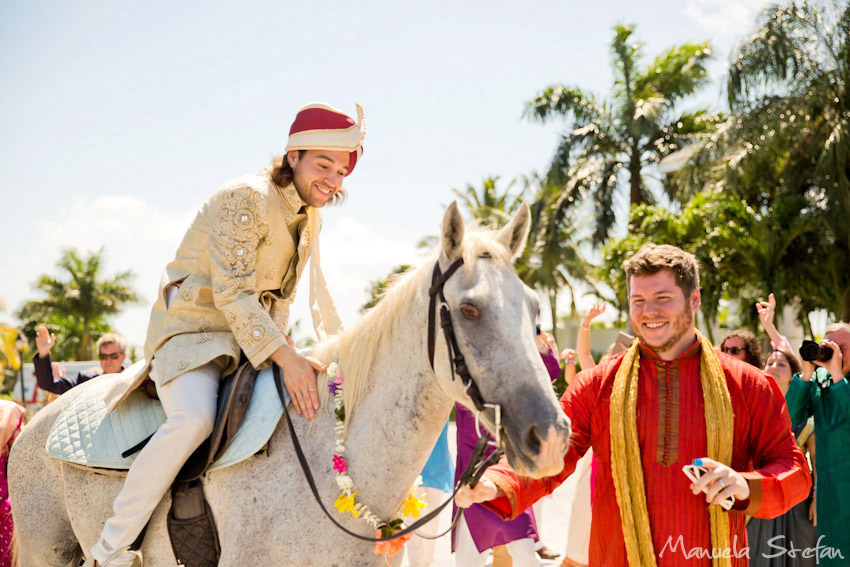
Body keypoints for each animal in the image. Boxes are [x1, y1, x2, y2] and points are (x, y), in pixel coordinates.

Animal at [8, 204, 568, 567]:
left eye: (535, 309)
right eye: (470, 310)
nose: (550, 434)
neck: (329, 459)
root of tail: (42, 417)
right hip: (44, 550)